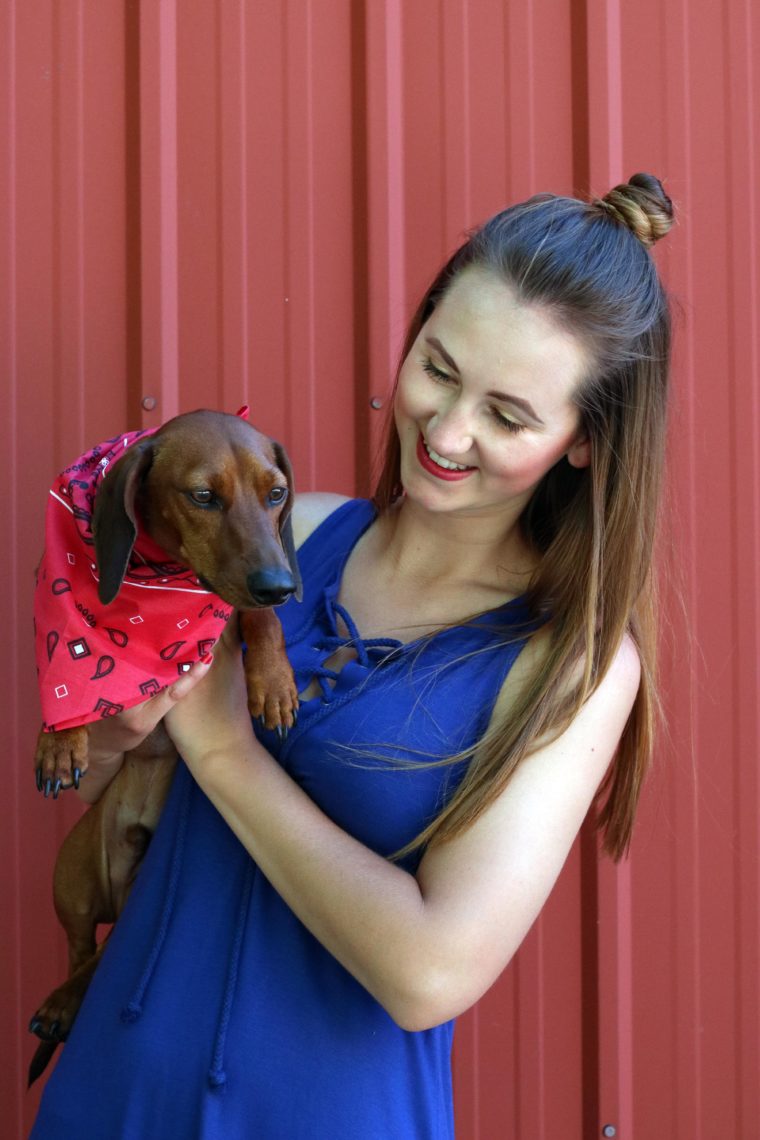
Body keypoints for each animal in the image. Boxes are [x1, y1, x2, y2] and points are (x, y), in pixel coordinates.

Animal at [27, 410, 300, 1085]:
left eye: (276, 493)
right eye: (203, 496)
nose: (281, 585)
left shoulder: (241, 604)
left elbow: (260, 623)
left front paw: (275, 683)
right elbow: (59, 668)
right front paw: (59, 738)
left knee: (102, 953)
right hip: (72, 869)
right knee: (81, 947)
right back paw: (61, 1001)